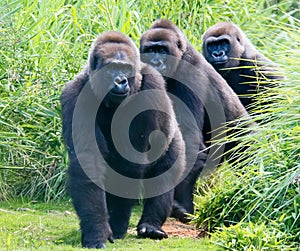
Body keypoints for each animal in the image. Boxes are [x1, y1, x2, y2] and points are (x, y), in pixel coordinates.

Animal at [61, 30, 185, 248]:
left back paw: (151, 225)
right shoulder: (74, 95)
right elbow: (88, 160)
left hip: (175, 139)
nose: (121, 81)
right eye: (112, 68)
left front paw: (117, 224)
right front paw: (98, 230)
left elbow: (131, 162)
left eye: (125, 69)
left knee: (165, 172)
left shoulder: (152, 86)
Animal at [141, 20, 251, 224]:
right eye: (150, 50)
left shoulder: (189, 77)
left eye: (162, 50)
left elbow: (190, 142)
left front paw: (181, 205)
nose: (156, 62)